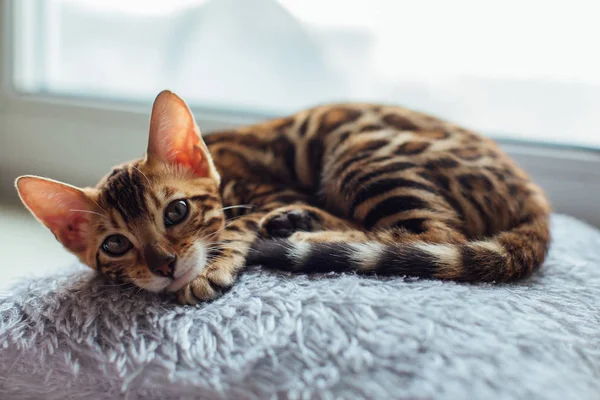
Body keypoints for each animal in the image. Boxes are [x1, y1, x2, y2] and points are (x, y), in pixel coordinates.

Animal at [15, 90, 548, 304]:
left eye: (177, 210)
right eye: (115, 245)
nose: (165, 265)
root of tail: (533, 192)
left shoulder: (267, 192)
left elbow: (234, 227)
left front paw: (209, 268)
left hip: (360, 151)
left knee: (433, 235)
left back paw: (298, 231)